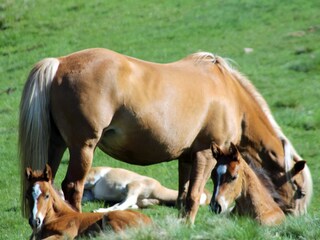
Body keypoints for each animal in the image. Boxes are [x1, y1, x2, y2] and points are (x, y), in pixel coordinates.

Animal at [18, 47, 312, 224]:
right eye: (299, 191)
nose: (298, 220)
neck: (228, 94)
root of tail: (59, 63)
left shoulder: (187, 158)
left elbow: (183, 196)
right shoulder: (205, 155)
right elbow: (194, 195)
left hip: (55, 145)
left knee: (46, 182)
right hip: (83, 148)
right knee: (72, 187)